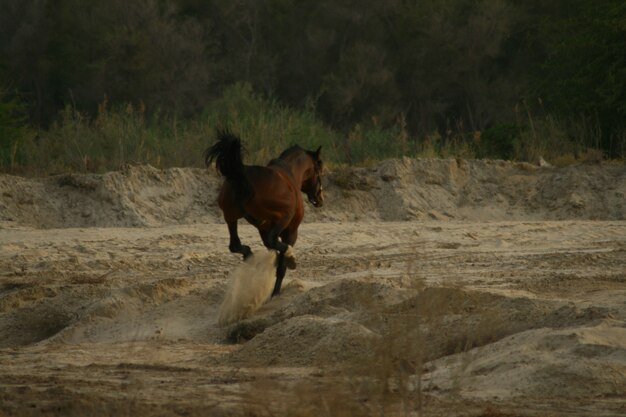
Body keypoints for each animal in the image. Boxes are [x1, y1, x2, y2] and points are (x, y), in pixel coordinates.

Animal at [205, 130, 324, 296]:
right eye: (321, 171)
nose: (320, 199)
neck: (291, 174)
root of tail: (241, 174)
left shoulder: (263, 228)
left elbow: (272, 250)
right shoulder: (290, 231)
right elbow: (280, 265)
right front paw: (276, 290)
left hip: (230, 216)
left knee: (235, 244)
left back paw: (249, 255)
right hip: (283, 216)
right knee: (270, 241)